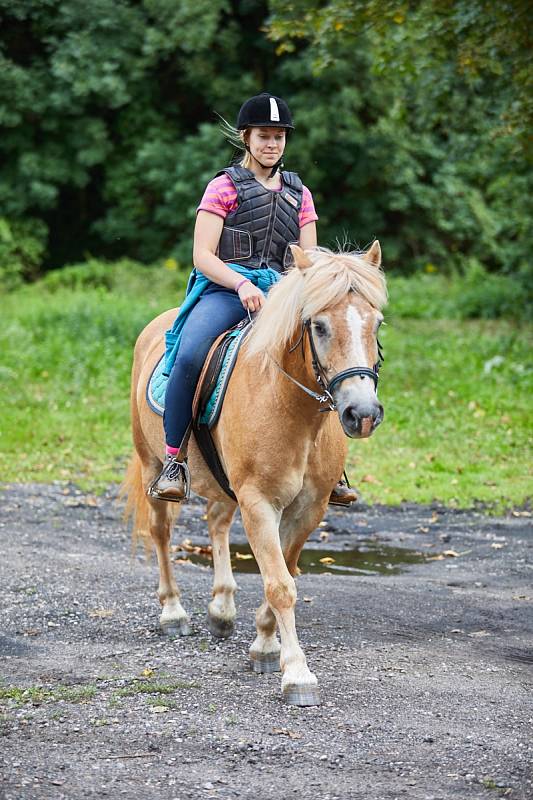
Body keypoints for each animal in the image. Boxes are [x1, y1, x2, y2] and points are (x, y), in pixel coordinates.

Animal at [124, 241, 386, 704]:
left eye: (376, 323)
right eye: (319, 326)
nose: (363, 413)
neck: (290, 408)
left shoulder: (308, 508)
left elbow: (286, 572)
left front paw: (265, 646)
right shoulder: (259, 501)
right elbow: (279, 583)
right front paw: (297, 674)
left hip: (225, 486)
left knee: (216, 521)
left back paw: (222, 609)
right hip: (153, 464)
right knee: (160, 531)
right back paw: (173, 612)